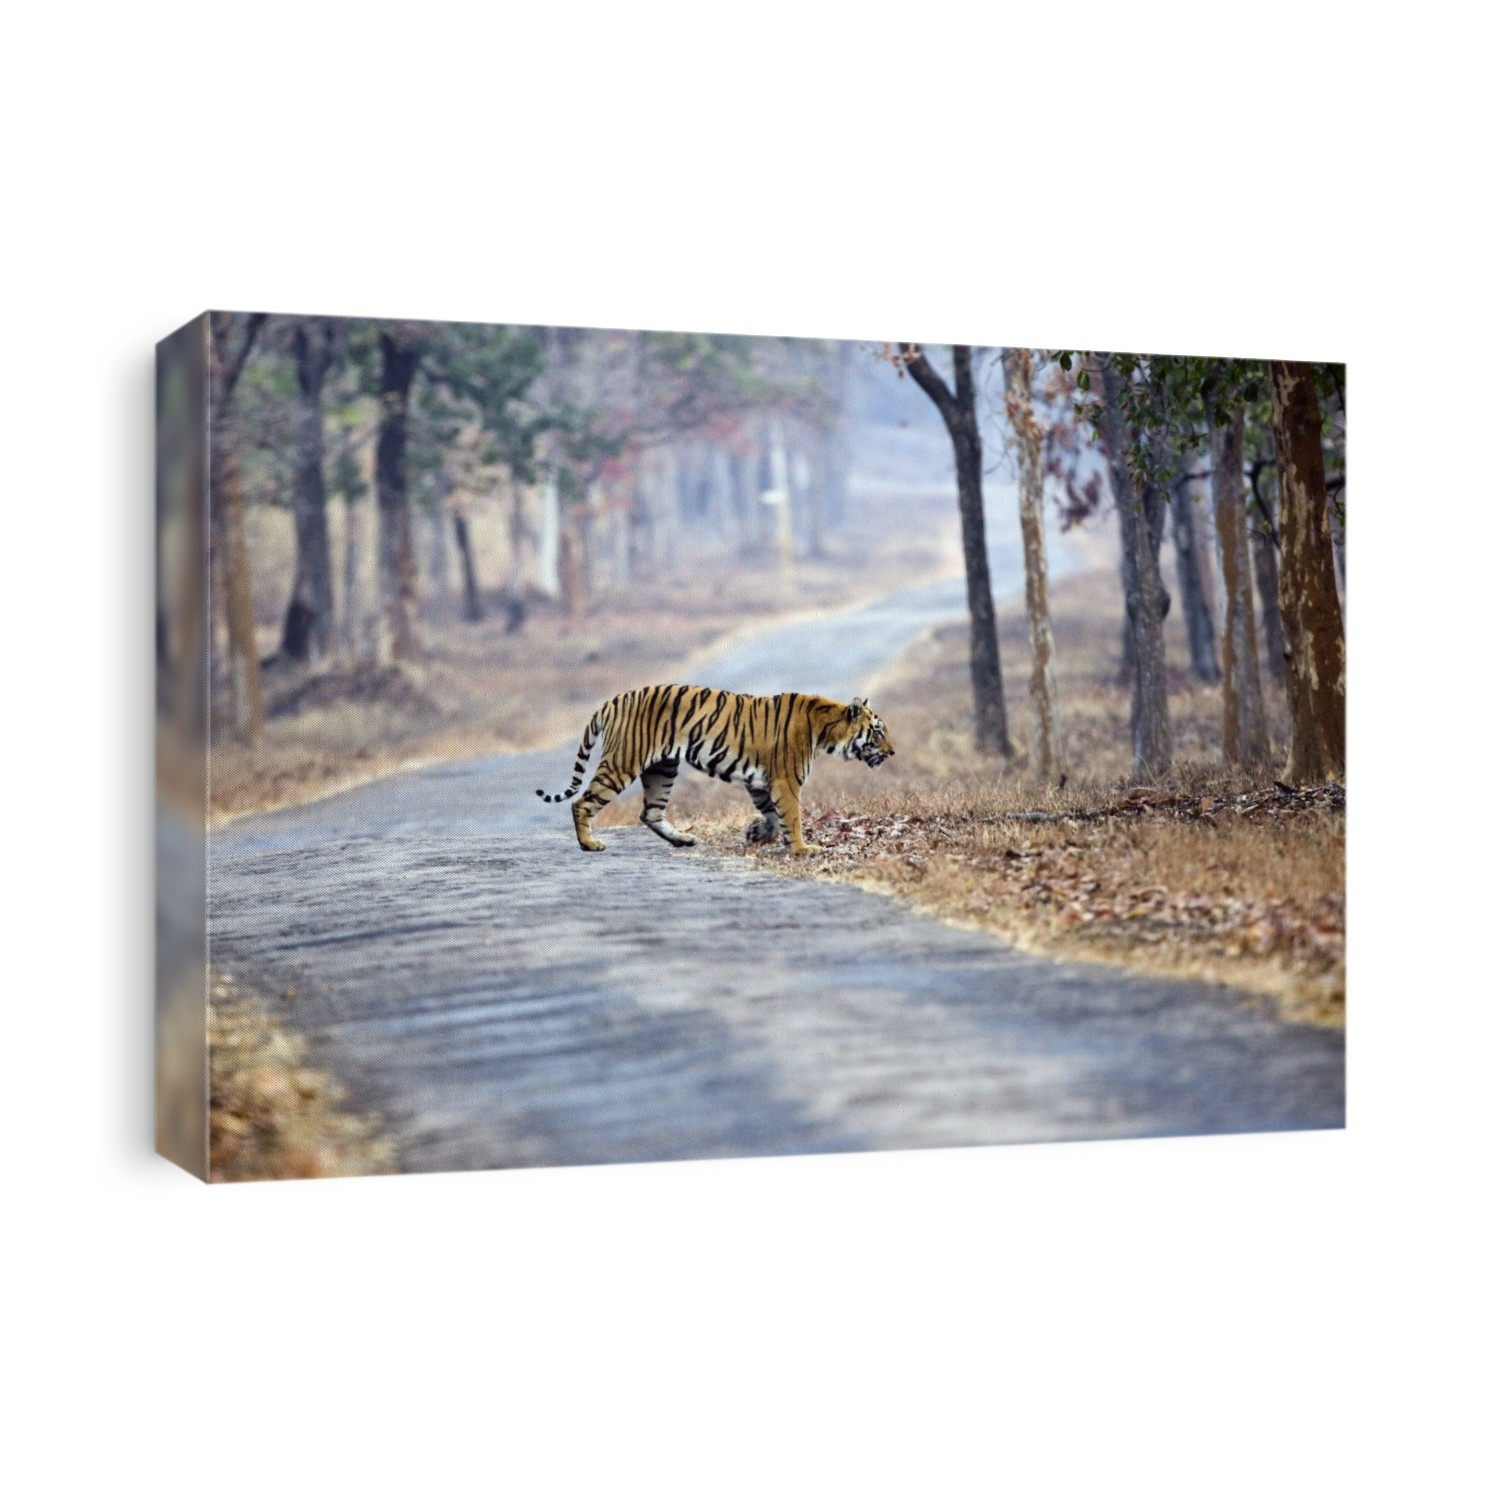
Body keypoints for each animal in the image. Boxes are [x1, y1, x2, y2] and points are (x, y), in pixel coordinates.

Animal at [535, 685, 895, 854]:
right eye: (878, 731)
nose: (892, 752)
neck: (826, 729)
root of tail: (615, 699)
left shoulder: (761, 782)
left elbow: (773, 817)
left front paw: (757, 834)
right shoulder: (785, 780)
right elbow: (791, 817)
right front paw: (803, 849)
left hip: (663, 768)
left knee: (650, 812)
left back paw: (682, 839)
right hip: (623, 761)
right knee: (582, 802)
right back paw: (589, 844)